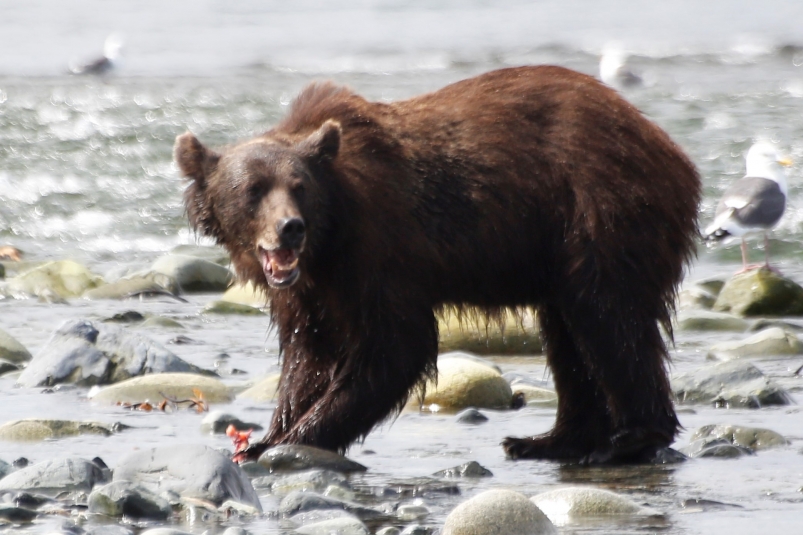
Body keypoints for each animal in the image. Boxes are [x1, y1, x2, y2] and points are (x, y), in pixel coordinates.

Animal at [177, 65, 704, 462]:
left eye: (299, 186)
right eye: (252, 190)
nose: (290, 228)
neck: (330, 241)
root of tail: (675, 151)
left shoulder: (381, 250)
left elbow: (395, 346)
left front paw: (294, 439)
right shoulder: (310, 290)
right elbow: (309, 353)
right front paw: (268, 434)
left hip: (600, 214)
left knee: (609, 319)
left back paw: (627, 439)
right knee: (569, 333)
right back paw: (548, 440)